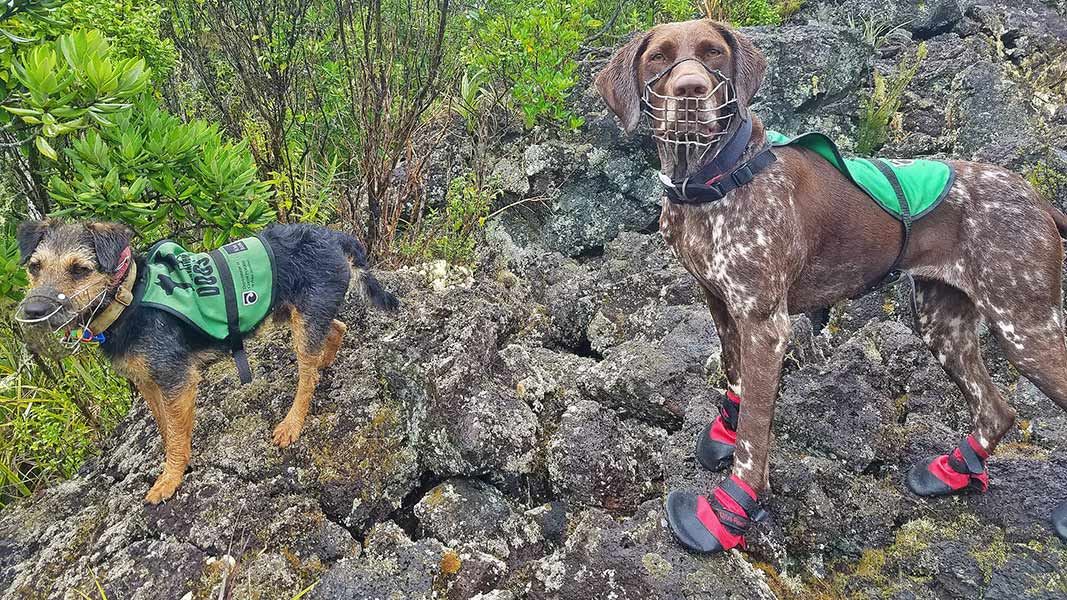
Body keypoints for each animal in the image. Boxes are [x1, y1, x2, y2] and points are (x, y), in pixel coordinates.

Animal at [14, 218, 399, 499]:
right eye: (34, 266)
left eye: (79, 269)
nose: (32, 311)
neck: (129, 298)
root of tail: (334, 237)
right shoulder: (149, 383)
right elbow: (167, 429)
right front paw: (175, 462)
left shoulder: (176, 379)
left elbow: (175, 434)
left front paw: (170, 478)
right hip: (296, 313)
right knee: (337, 327)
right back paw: (324, 360)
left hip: (304, 322)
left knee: (307, 377)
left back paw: (292, 422)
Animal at [597, 19, 1067, 550]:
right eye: (658, 57)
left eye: (714, 52)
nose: (690, 91)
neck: (716, 178)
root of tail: (1038, 200)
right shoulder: (720, 302)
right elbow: (735, 379)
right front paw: (724, 433)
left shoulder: (765, 324)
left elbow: (755, 432)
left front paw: (728, 511)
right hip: (942, 322)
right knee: (996, 410)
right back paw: (951, 470)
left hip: (1024, 328)